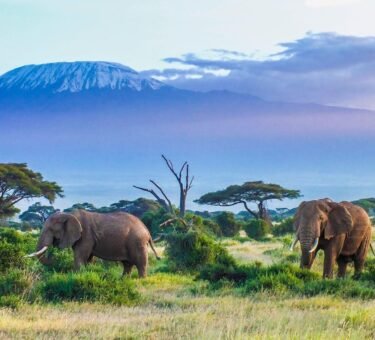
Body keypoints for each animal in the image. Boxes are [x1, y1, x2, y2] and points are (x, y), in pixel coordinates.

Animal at [25, 209, 161, 278]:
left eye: (51, 229)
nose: (56, 261)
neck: (69, 214)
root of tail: (147, 230)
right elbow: (88, 258)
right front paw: (84, 274)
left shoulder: (86, 235)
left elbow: (80, 256)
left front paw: (77, 276)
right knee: (127, 264)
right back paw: (123, 280)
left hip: (137, 241)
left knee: (140, 262)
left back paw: (141, 280)